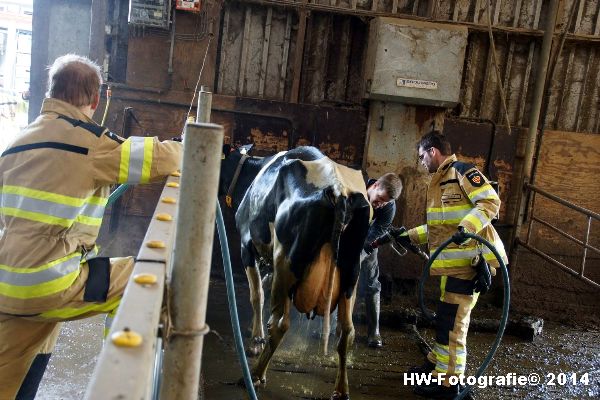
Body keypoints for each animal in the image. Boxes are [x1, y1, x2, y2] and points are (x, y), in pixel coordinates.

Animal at [220, 145, 370, 398]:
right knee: (346, 332)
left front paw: (255, 340)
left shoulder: (246, 245)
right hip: (351, 274)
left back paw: (255, 375)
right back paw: (341, 389)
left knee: (280, 323)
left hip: (285, 261)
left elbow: (257, 294)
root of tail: (338, 190)